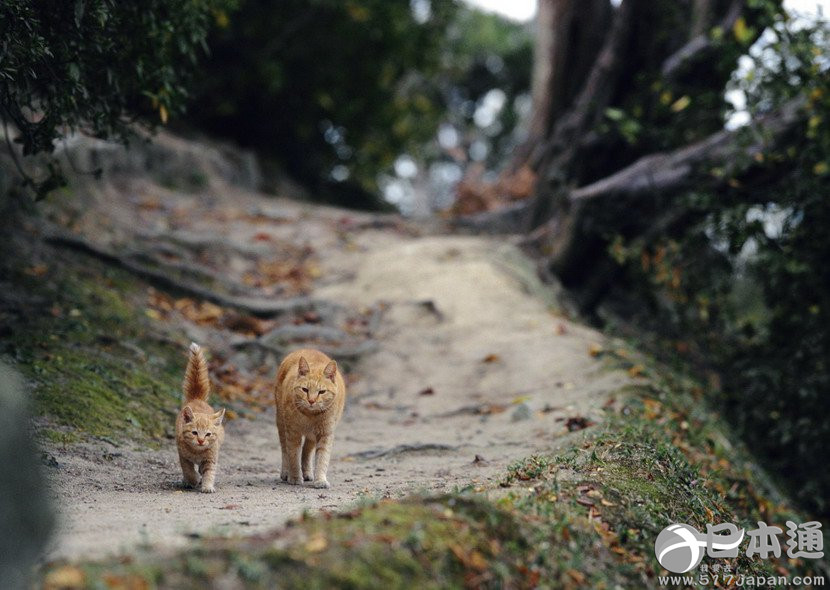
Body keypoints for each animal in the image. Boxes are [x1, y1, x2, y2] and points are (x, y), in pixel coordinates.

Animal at [176, 344, 226, 492]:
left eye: (208, 434)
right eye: (194, 433)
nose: (201, 440)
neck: (197, 452)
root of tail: (197, 399)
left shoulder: (211, 458)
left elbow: (209, 472)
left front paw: (207, 486)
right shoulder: (183, 456)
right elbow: (188, 470)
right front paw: (192, 480)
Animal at [278, 350, 346, 488]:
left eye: (322, 392)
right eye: (305, 390)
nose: (311, 401)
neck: (310, 416)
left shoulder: (325, 434)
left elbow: (322, 458)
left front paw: (320, 480)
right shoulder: (293, 433)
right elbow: (293, 455)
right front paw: (295, 477)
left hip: (312, 436)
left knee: (307, 451)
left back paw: (307, 472)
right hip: (281, 423)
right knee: (284, 450)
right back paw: (286, 472)